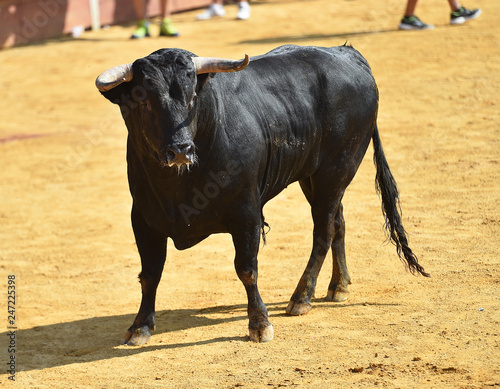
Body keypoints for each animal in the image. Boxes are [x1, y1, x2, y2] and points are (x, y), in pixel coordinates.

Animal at [95, 44, 428, 344]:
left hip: (336, 171)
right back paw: (339, 286)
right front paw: (140, 326)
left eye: (192, 98)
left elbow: (247, 269)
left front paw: (259, 324)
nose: (180, 150)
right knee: (338, 223)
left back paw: (302, 297)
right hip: (316, 177)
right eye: (143, 103)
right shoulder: (143, 220)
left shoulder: (246, 213)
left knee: (323, 231)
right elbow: (149, 274)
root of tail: (349, 54)